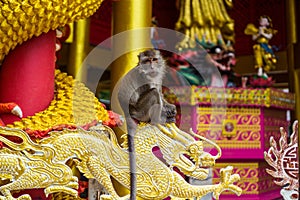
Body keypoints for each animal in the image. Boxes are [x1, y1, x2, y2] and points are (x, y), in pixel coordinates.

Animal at [117, 48, 177, 198]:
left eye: (154, 60)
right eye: (147, 61)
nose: (151, 66)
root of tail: (128, 112)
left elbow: (160, 91)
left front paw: (170, 107)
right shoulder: (144, 79)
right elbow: (155, 92)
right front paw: (166, 112)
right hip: (140, 111)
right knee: (153, 93)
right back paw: (158, 121)